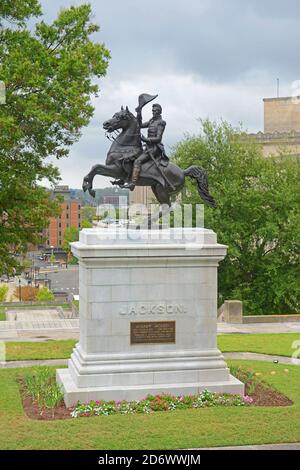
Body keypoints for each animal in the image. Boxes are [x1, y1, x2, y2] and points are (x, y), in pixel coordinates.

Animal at [82, 107, 216, 208]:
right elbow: (95, 168)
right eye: (114, 115)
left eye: (121, 117)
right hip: (155, 188)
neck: (124, 147)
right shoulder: (114, 171)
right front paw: (88, 186)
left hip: (162, 190)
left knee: (168, 207)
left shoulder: (116, 170)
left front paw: (88, 187)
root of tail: (183, 172)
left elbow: (96, 167)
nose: (106, 124)